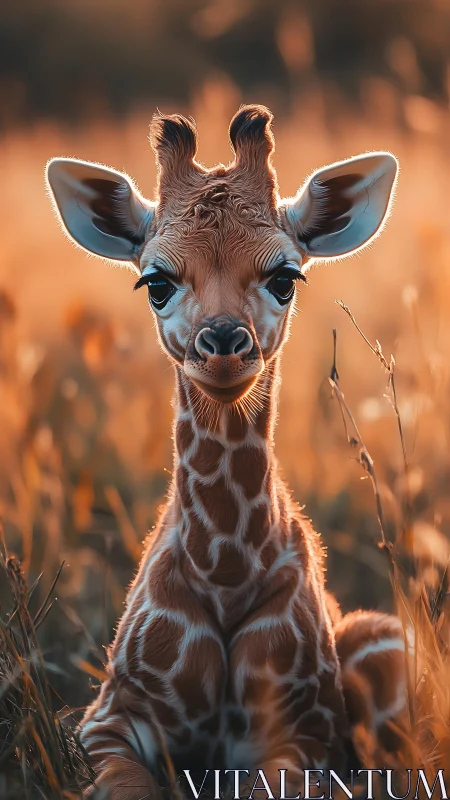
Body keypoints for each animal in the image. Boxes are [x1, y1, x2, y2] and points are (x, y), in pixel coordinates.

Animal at [46, 105, 407, 799]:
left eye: (285, 277)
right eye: (155, 281)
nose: (222, 346)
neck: (224, 572)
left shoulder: (306, 736)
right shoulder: (102, 719)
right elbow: (123, 784)